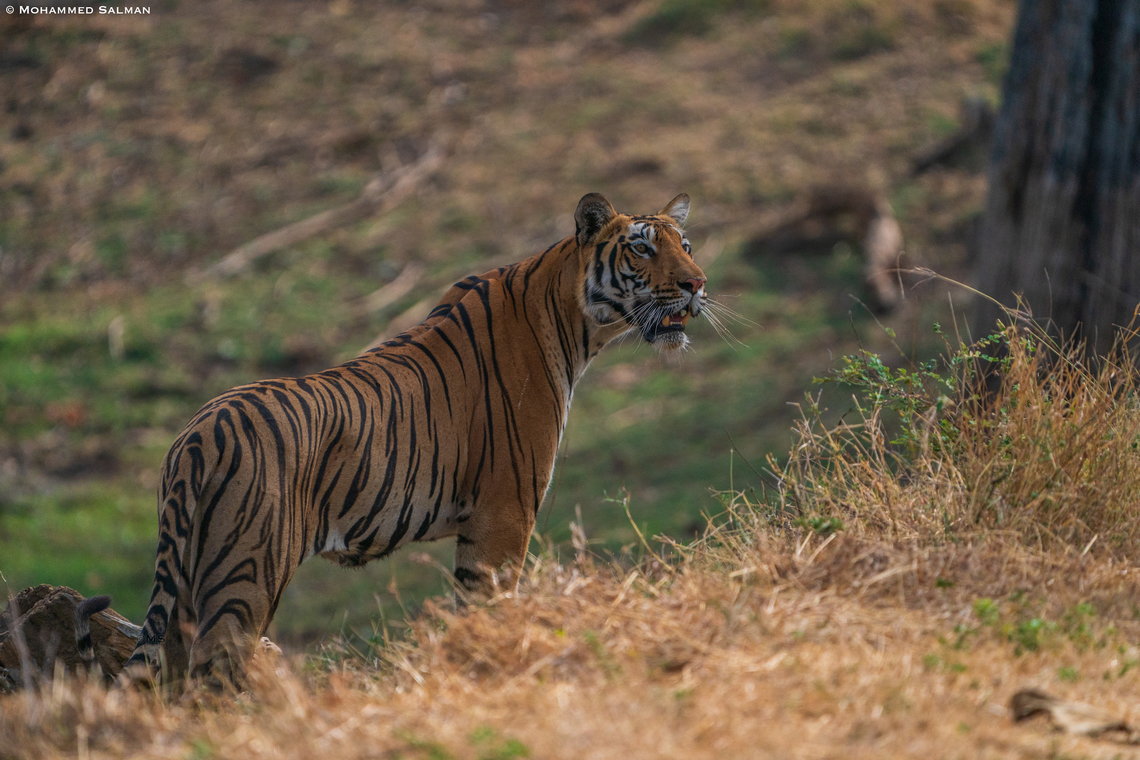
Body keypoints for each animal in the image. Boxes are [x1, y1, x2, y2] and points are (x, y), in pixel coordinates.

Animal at [123, 192, 709, 688]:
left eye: (685, 246)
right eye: (641, 248)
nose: (697, 285)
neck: (573, 320)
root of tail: (196, 436)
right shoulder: (505, 515)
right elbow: (488, 608)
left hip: (188, 584)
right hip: (244, 578)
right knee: (211, 675)